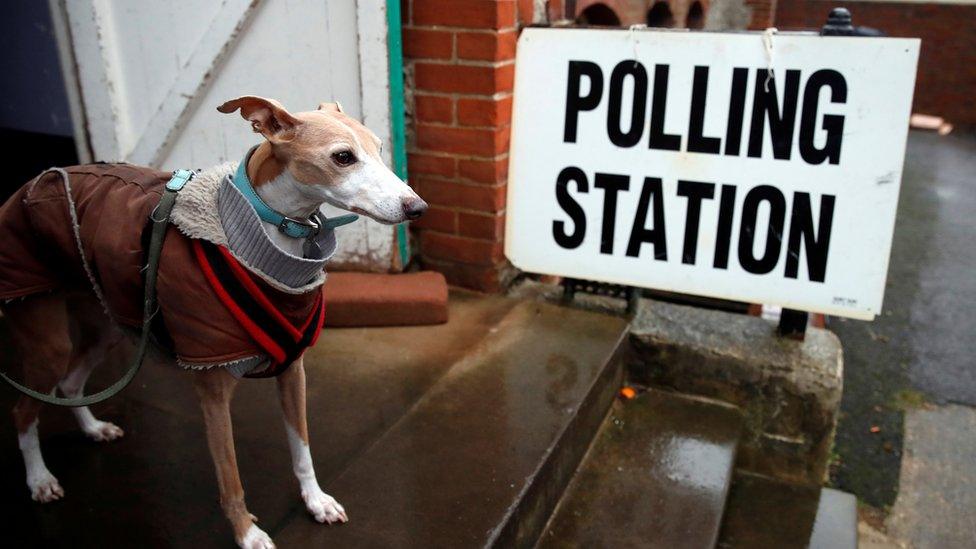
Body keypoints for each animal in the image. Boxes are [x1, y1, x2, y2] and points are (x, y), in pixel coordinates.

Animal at [0, 96, 428, 544]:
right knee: (23, 412)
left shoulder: (292, 370)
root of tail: (29, 185)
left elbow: (302, 448)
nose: (418, 208)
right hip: (46, 338)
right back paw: (39, 479)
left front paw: (316, 501)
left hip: (107, 324)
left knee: (69, 383)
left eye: (379, 148)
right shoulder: (212, 391)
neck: (269, 235)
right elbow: (230, 478)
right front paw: (247, 534)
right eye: (343, 157)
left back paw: (92, 429)